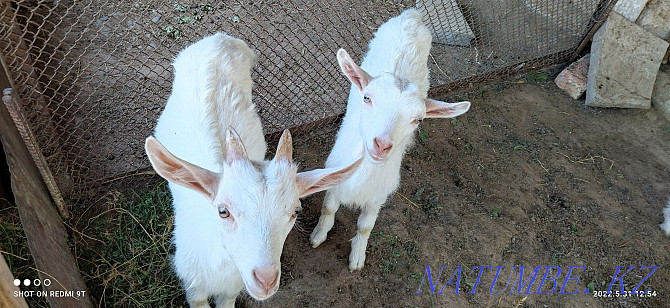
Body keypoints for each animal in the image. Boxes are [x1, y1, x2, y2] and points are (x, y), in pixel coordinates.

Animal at [144, 32, 360, 306]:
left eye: (295, 211)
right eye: (223, 211)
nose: (265, 280)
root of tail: (220, 38)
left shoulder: (234, 286)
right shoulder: (193, 285)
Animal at [312, 9, 472, 270]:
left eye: (418, 119)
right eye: (367, 97)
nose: (382, 145)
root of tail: (412, 16)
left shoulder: (379, 195)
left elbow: (365, 226)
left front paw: (357, 257)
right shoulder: (335, 177)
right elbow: (328, 207)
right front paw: (318, 235)